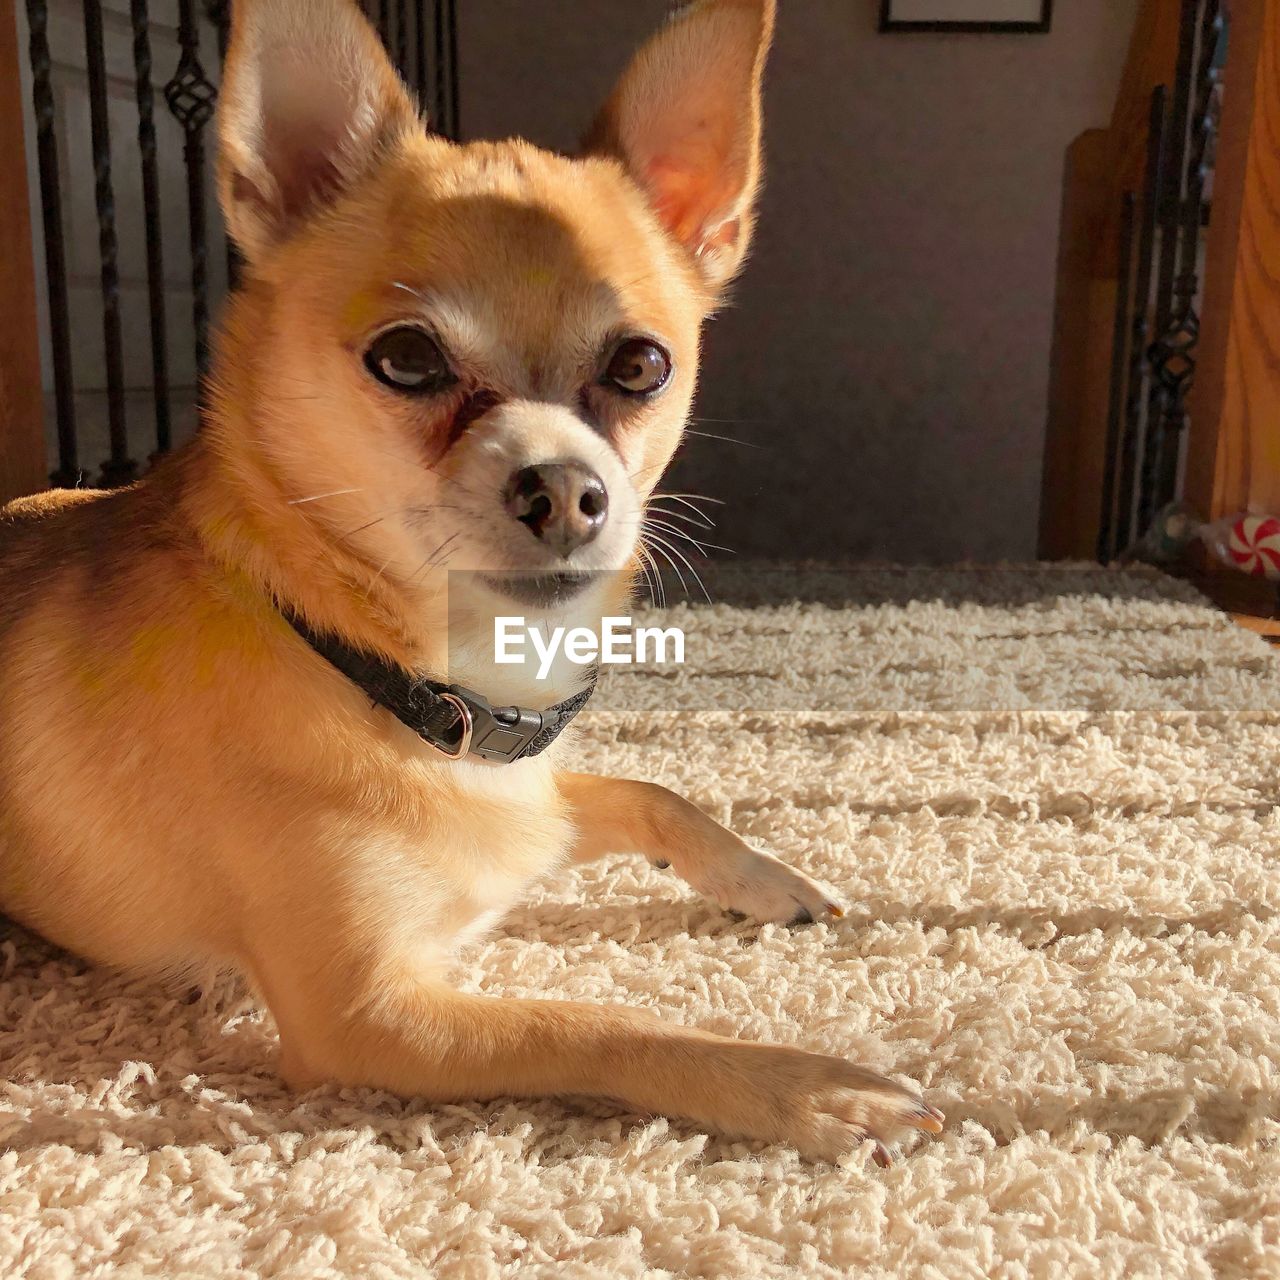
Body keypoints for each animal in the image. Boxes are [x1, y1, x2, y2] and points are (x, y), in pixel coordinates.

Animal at [0, 0, 942, 1167]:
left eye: (641, 366)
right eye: (406, 359)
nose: (568, 490)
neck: (411, 683)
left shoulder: (539, 805)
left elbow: (659, 794)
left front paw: (768, 876)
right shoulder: (368, 1016)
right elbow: (592, 1021)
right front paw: (807, 1084)